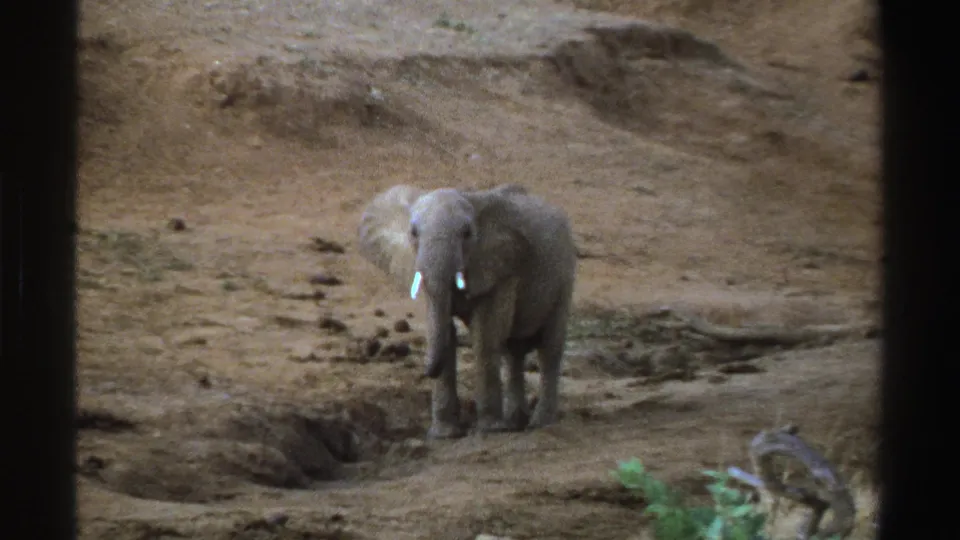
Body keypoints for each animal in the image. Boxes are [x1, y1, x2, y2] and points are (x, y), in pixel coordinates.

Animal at [357, 183, 578, 439]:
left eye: (467, 233)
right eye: (413, 233)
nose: (425, 371)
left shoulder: (501, 267)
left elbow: (484, 337)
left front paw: (490, 429)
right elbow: (442, 329)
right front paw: (444, 435)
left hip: (565, 276)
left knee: (549, 348)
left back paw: (539, 423)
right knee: (513, 351)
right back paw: (515, 422)